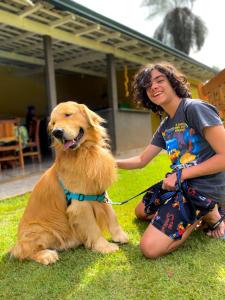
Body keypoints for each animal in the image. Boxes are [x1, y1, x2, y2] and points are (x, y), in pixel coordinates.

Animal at [10, 101, 128, 264]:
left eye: (68, 114)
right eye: (53, 123)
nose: (56, 132)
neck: (85, 152)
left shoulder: (100, 192)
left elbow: (112, 214)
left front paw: (119, 236)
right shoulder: (80, 203)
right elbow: (93, 228)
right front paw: (104, 246)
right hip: (41, 230)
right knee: (22, 251)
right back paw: (46, 255)